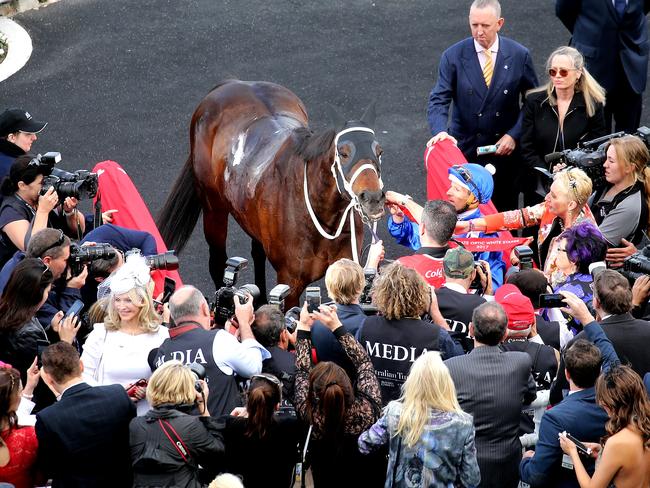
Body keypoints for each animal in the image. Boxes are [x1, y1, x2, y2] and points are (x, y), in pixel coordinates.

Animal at [158, 80, 384, 304]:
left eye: (379, 151)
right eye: (343, 153)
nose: (373, 198)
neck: (322, 217)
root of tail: (233, 82)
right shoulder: (290, 282)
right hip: (214, 209)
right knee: (217, 262)